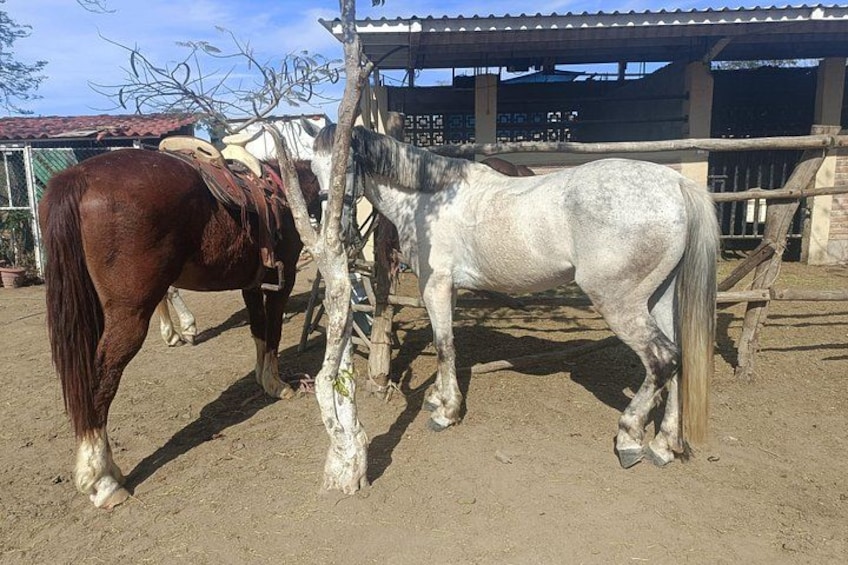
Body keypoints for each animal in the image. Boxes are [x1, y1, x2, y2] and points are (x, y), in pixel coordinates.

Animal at [39, 148, 319, 508]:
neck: (284, 192)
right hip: (129, 315)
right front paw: (278, 385)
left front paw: (264, 380)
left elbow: (258, 330)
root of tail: (77, 178)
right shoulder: (281, 284)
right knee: (100, 381)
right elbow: (272, 333)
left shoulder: (252, 285)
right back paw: (103, 481)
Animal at [311, 124, 719, 469]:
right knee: (680, 359)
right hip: (659, 298)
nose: (336, 232)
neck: (431, 199)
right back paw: (663, 446)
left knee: (662, 360)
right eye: (313, 171)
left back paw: (629, 438)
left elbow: (443, 346)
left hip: (620, 302)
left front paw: (446, 412)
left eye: (345, 166)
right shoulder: (447, 288)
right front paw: (438, 399)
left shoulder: (436, 284)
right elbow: (447, 343)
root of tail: (675, 183)